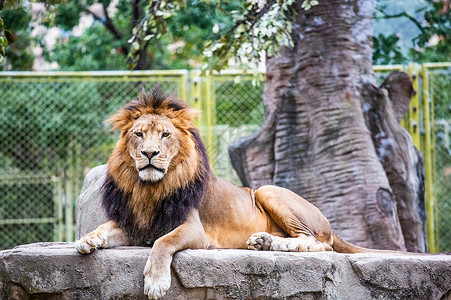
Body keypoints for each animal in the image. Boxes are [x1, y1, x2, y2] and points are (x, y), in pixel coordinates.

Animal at [75, 88, 382, 298]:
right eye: (139, 134)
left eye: (165, 135)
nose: (149, 153)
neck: (149, 188)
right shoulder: (135, 225)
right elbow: (104, 227)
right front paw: (88, 239)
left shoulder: (193, 230)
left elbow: (163, 242)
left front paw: (155, 281)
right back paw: (264, 242)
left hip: (268, 191)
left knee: (318, 244)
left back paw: (283, 246)